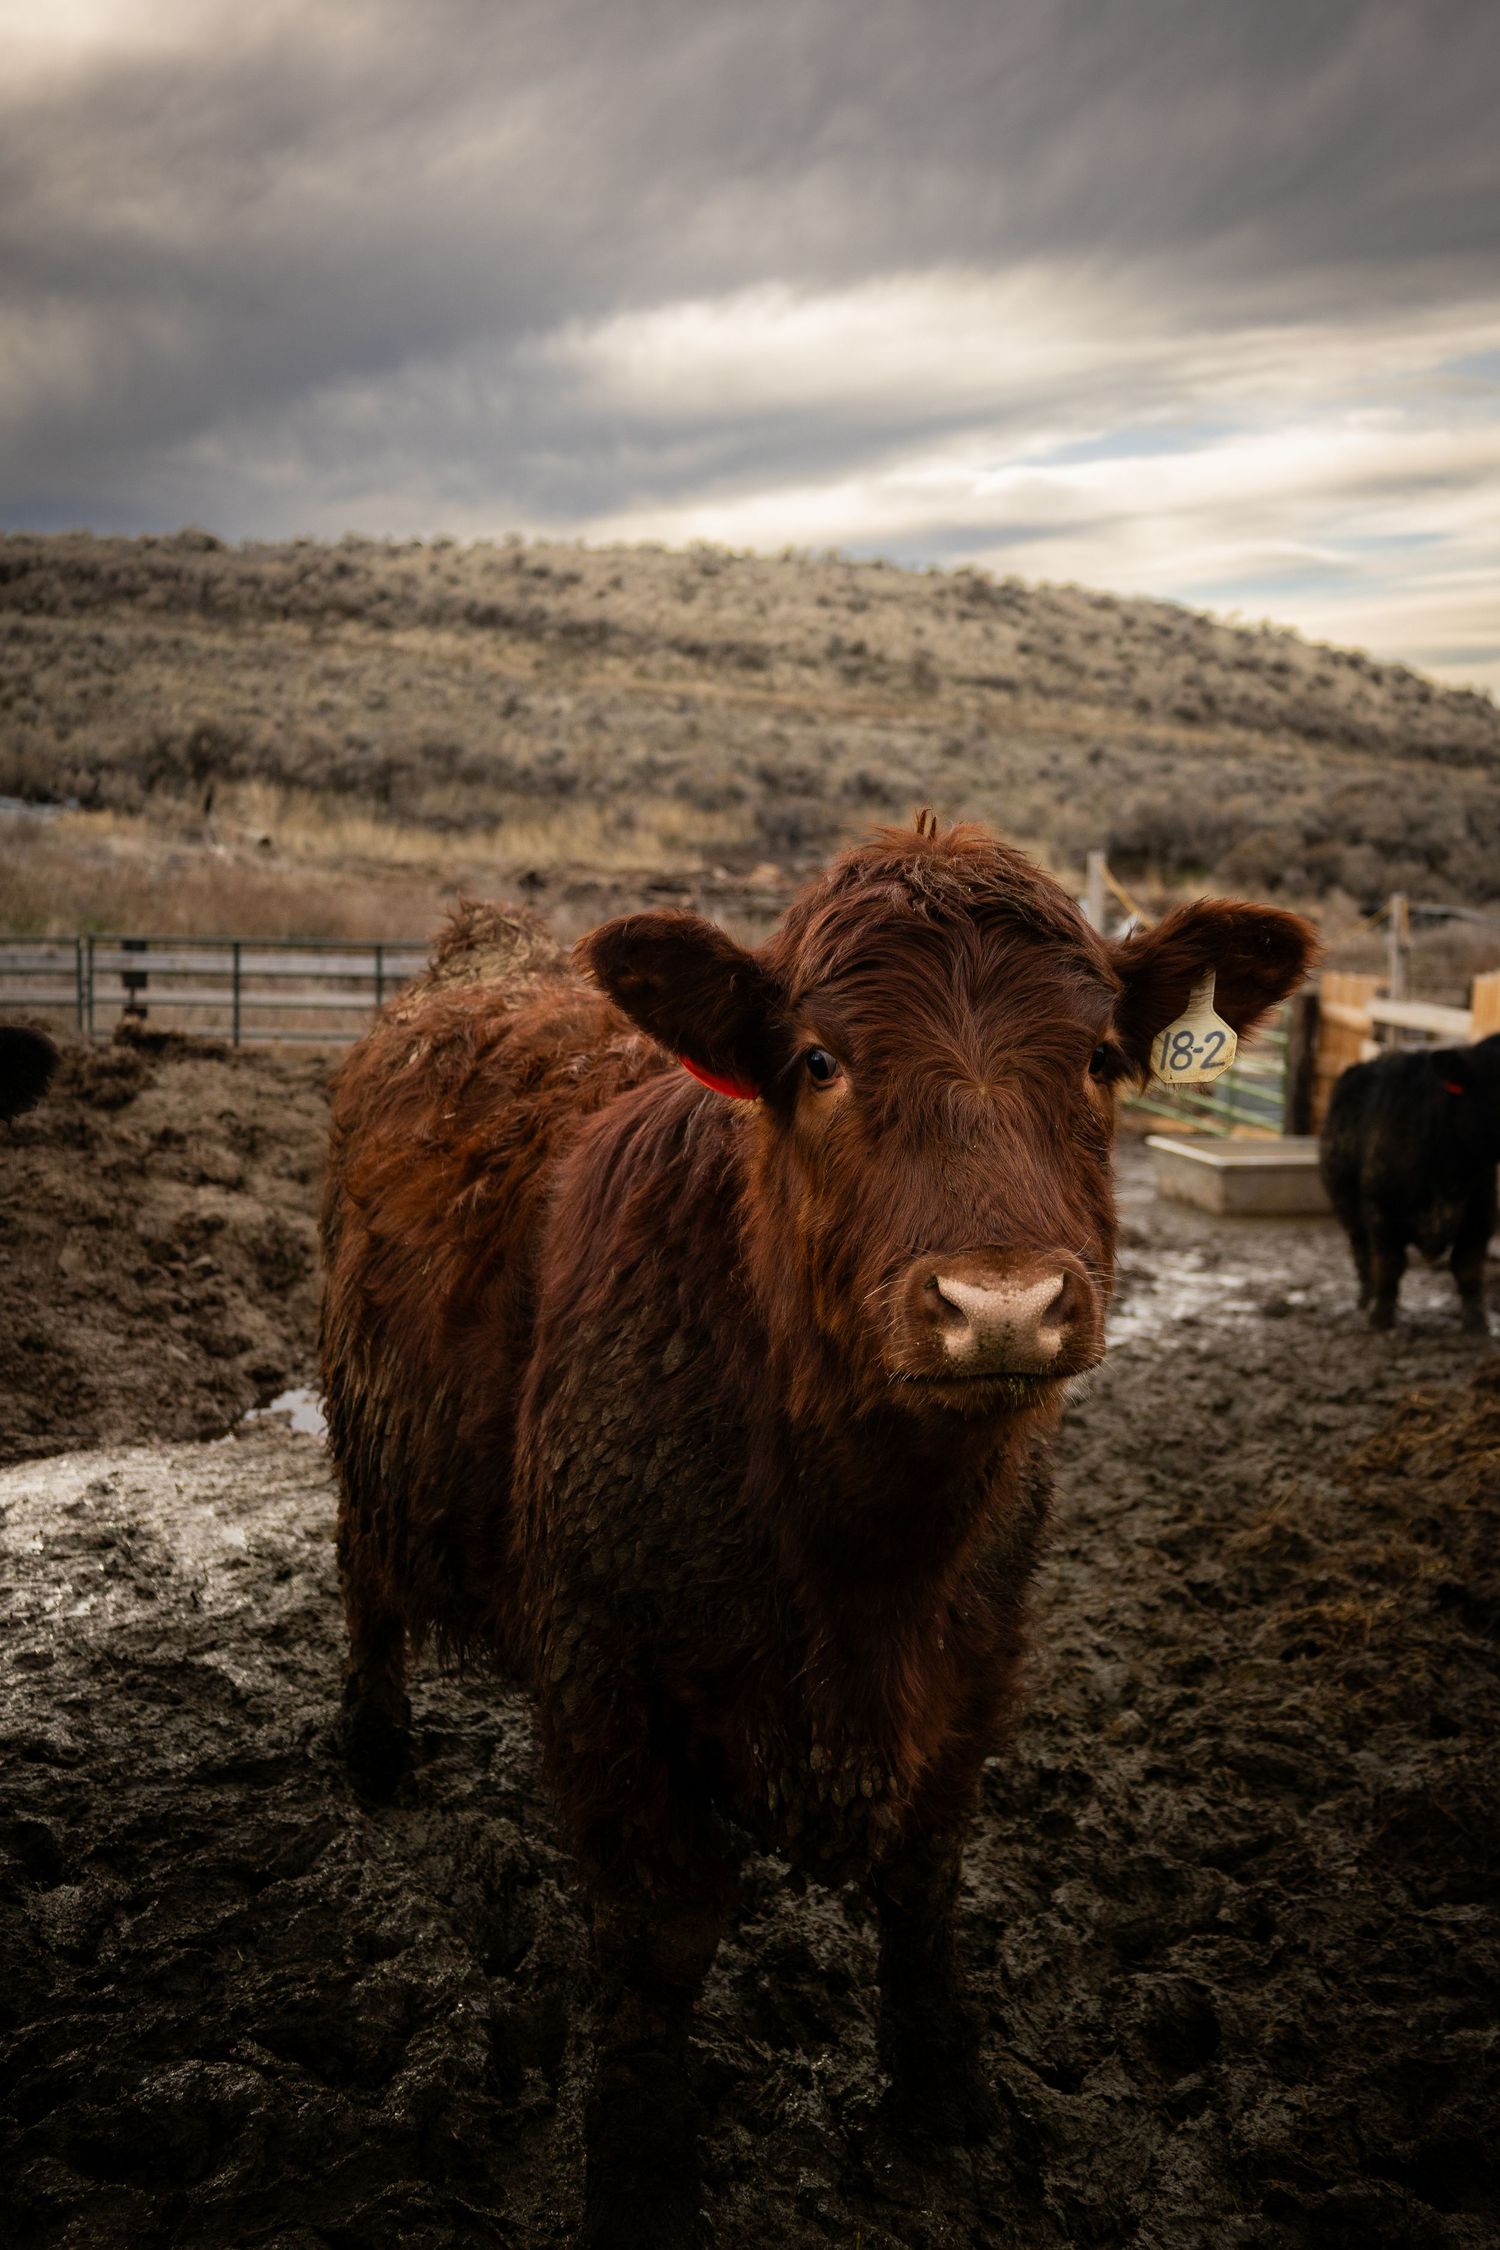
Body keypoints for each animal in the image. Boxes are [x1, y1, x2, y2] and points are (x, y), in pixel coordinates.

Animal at [320, 818, 1314, 2247]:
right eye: (821, 1061)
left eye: (1098, 1057)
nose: (1001, 1305)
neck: (864, 1553)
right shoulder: (604, 1666)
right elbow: (659, 1934)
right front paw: (640, 2177)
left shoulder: (979, 1658)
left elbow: (924, 1889)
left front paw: (941, 2102)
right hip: (365, 1432)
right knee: (366, 1585)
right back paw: (376, 1750)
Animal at [1319, 1032, 1500, 1332]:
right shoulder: (1380, 1213)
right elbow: (1389, 1265)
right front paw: (1381, 1319)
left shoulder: (1480, 1216)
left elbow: (1468, 1268)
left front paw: (1477, 1323)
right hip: (1348, 1211)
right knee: (1362, 1256)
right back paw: (1364, 1300)